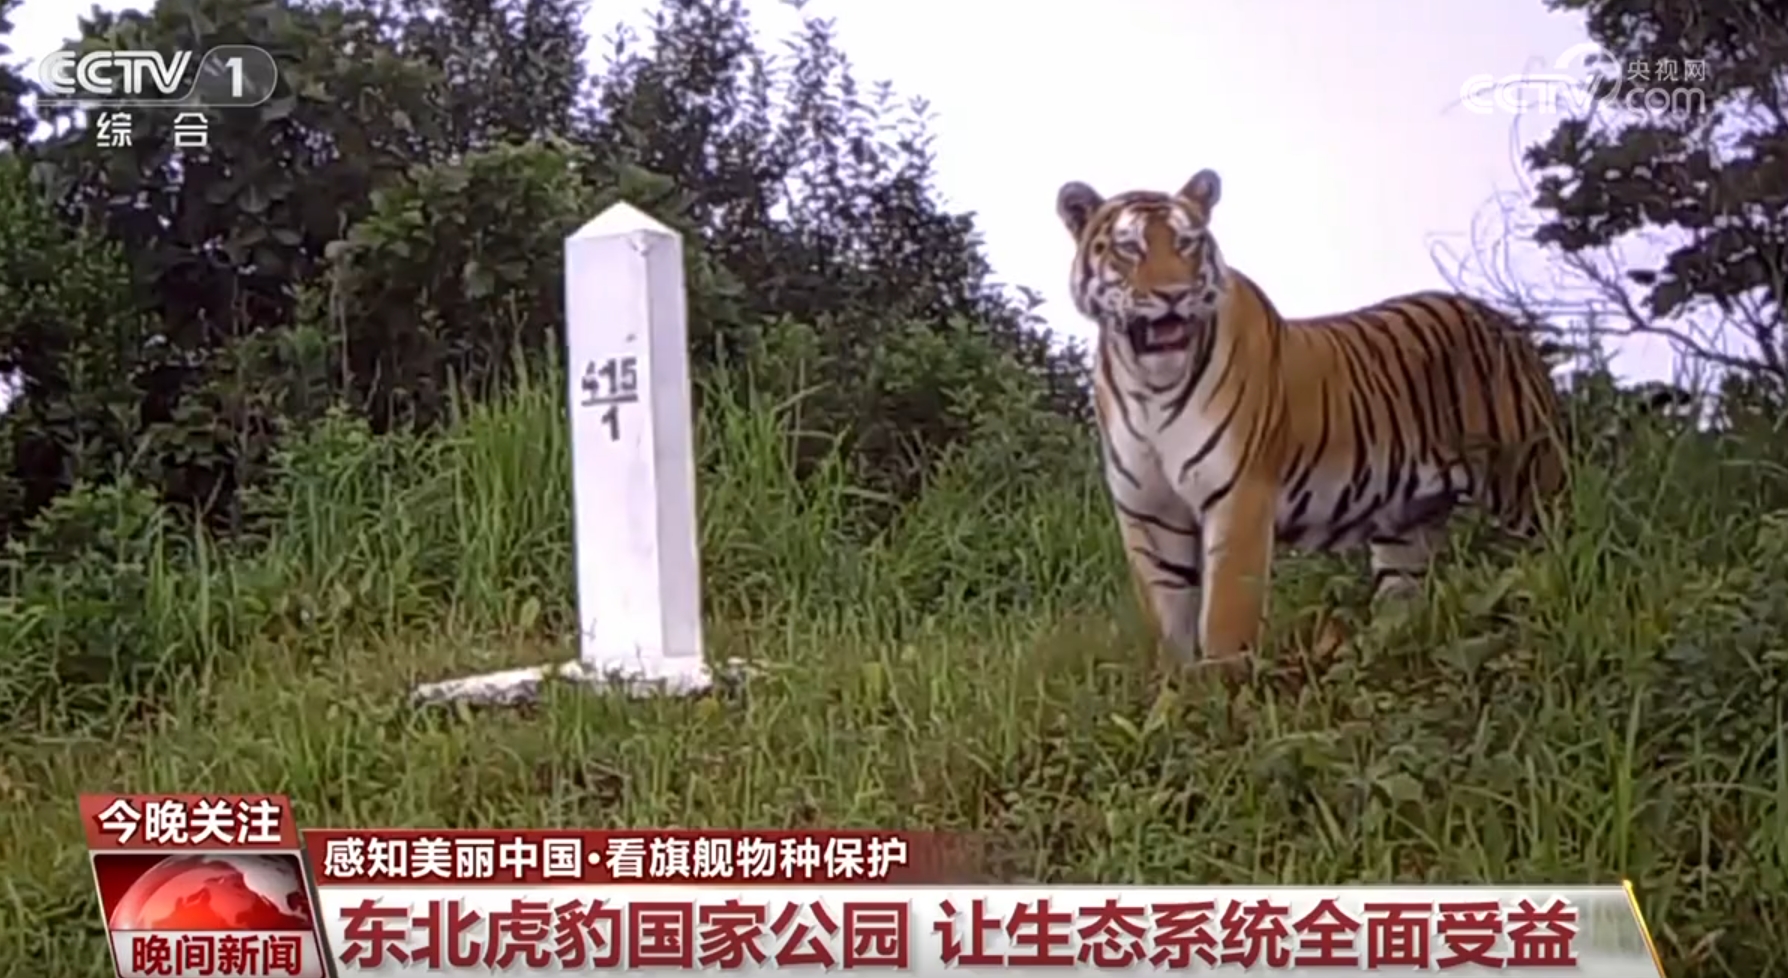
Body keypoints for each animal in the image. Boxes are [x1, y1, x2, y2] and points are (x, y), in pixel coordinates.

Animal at [1056, 169, 1566, 676]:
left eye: (1187, 244)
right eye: (1130, 248)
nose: (1174, 295)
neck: (1151, 389)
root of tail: (1507, 323)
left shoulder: (1239, 497)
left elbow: (1224, 617)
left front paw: (1223, 689)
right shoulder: (1149, 515)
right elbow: (1168, 625)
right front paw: (1176, 692)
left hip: (1528, 485)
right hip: (1406, 526)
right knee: (1400, 606)